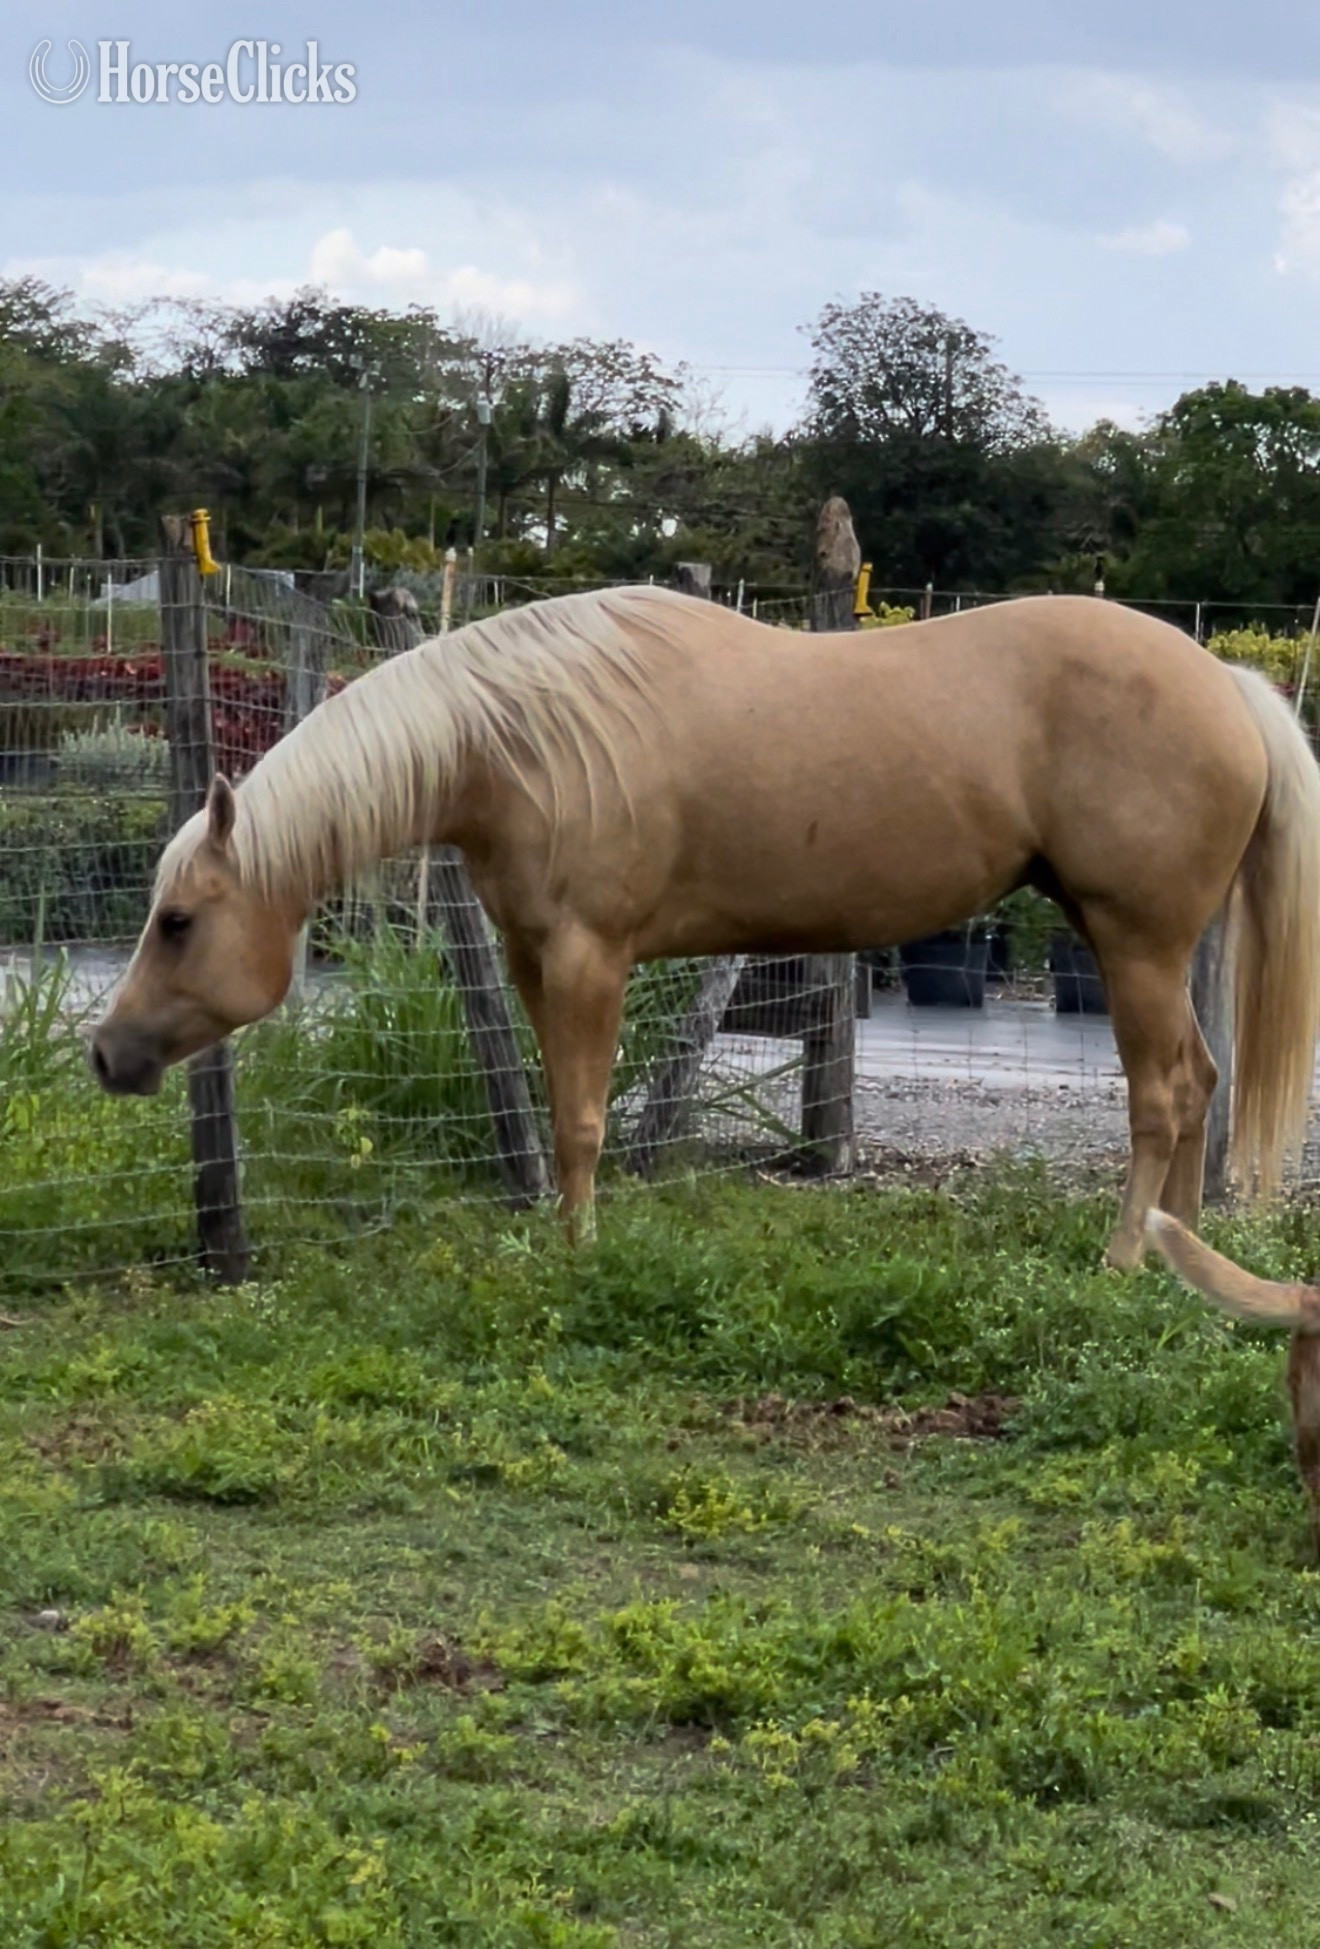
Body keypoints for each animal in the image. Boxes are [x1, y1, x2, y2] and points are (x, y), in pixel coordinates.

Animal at [90, 585, 1320, 1268]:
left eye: (179, 920)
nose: (105, 1053)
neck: (519, 738)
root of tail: (1223, 679)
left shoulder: (591, 958)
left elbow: (585, 1122)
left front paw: (579, 1255)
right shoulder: (534, 962)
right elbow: (557, 1107)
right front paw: (561, 1238)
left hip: (1135, 942)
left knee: (1165, 1095)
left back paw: (1122, 1257)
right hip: (1145, 946)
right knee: (1201, 1083)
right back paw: (1177, 1251)